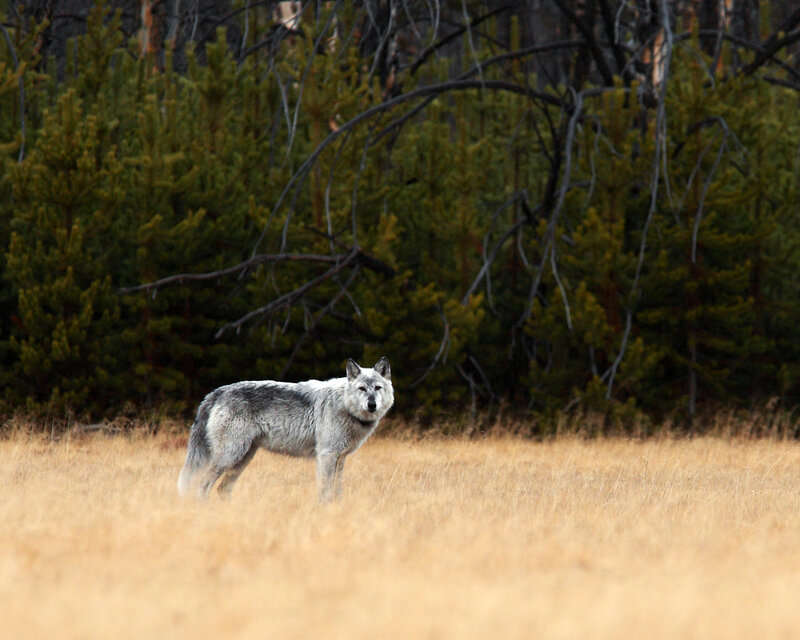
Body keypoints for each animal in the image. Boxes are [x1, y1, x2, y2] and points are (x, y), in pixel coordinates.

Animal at [177, 357, 393, 502]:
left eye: (377, 388)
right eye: (362, 389)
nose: (372, 405)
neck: (344, 405)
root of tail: (217, 392)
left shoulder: (340, 458)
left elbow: (336, 491)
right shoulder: (327, 455)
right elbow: (325, 491)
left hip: (242, 458)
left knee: (222, 489)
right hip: (230, 456)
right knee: (203, 485)